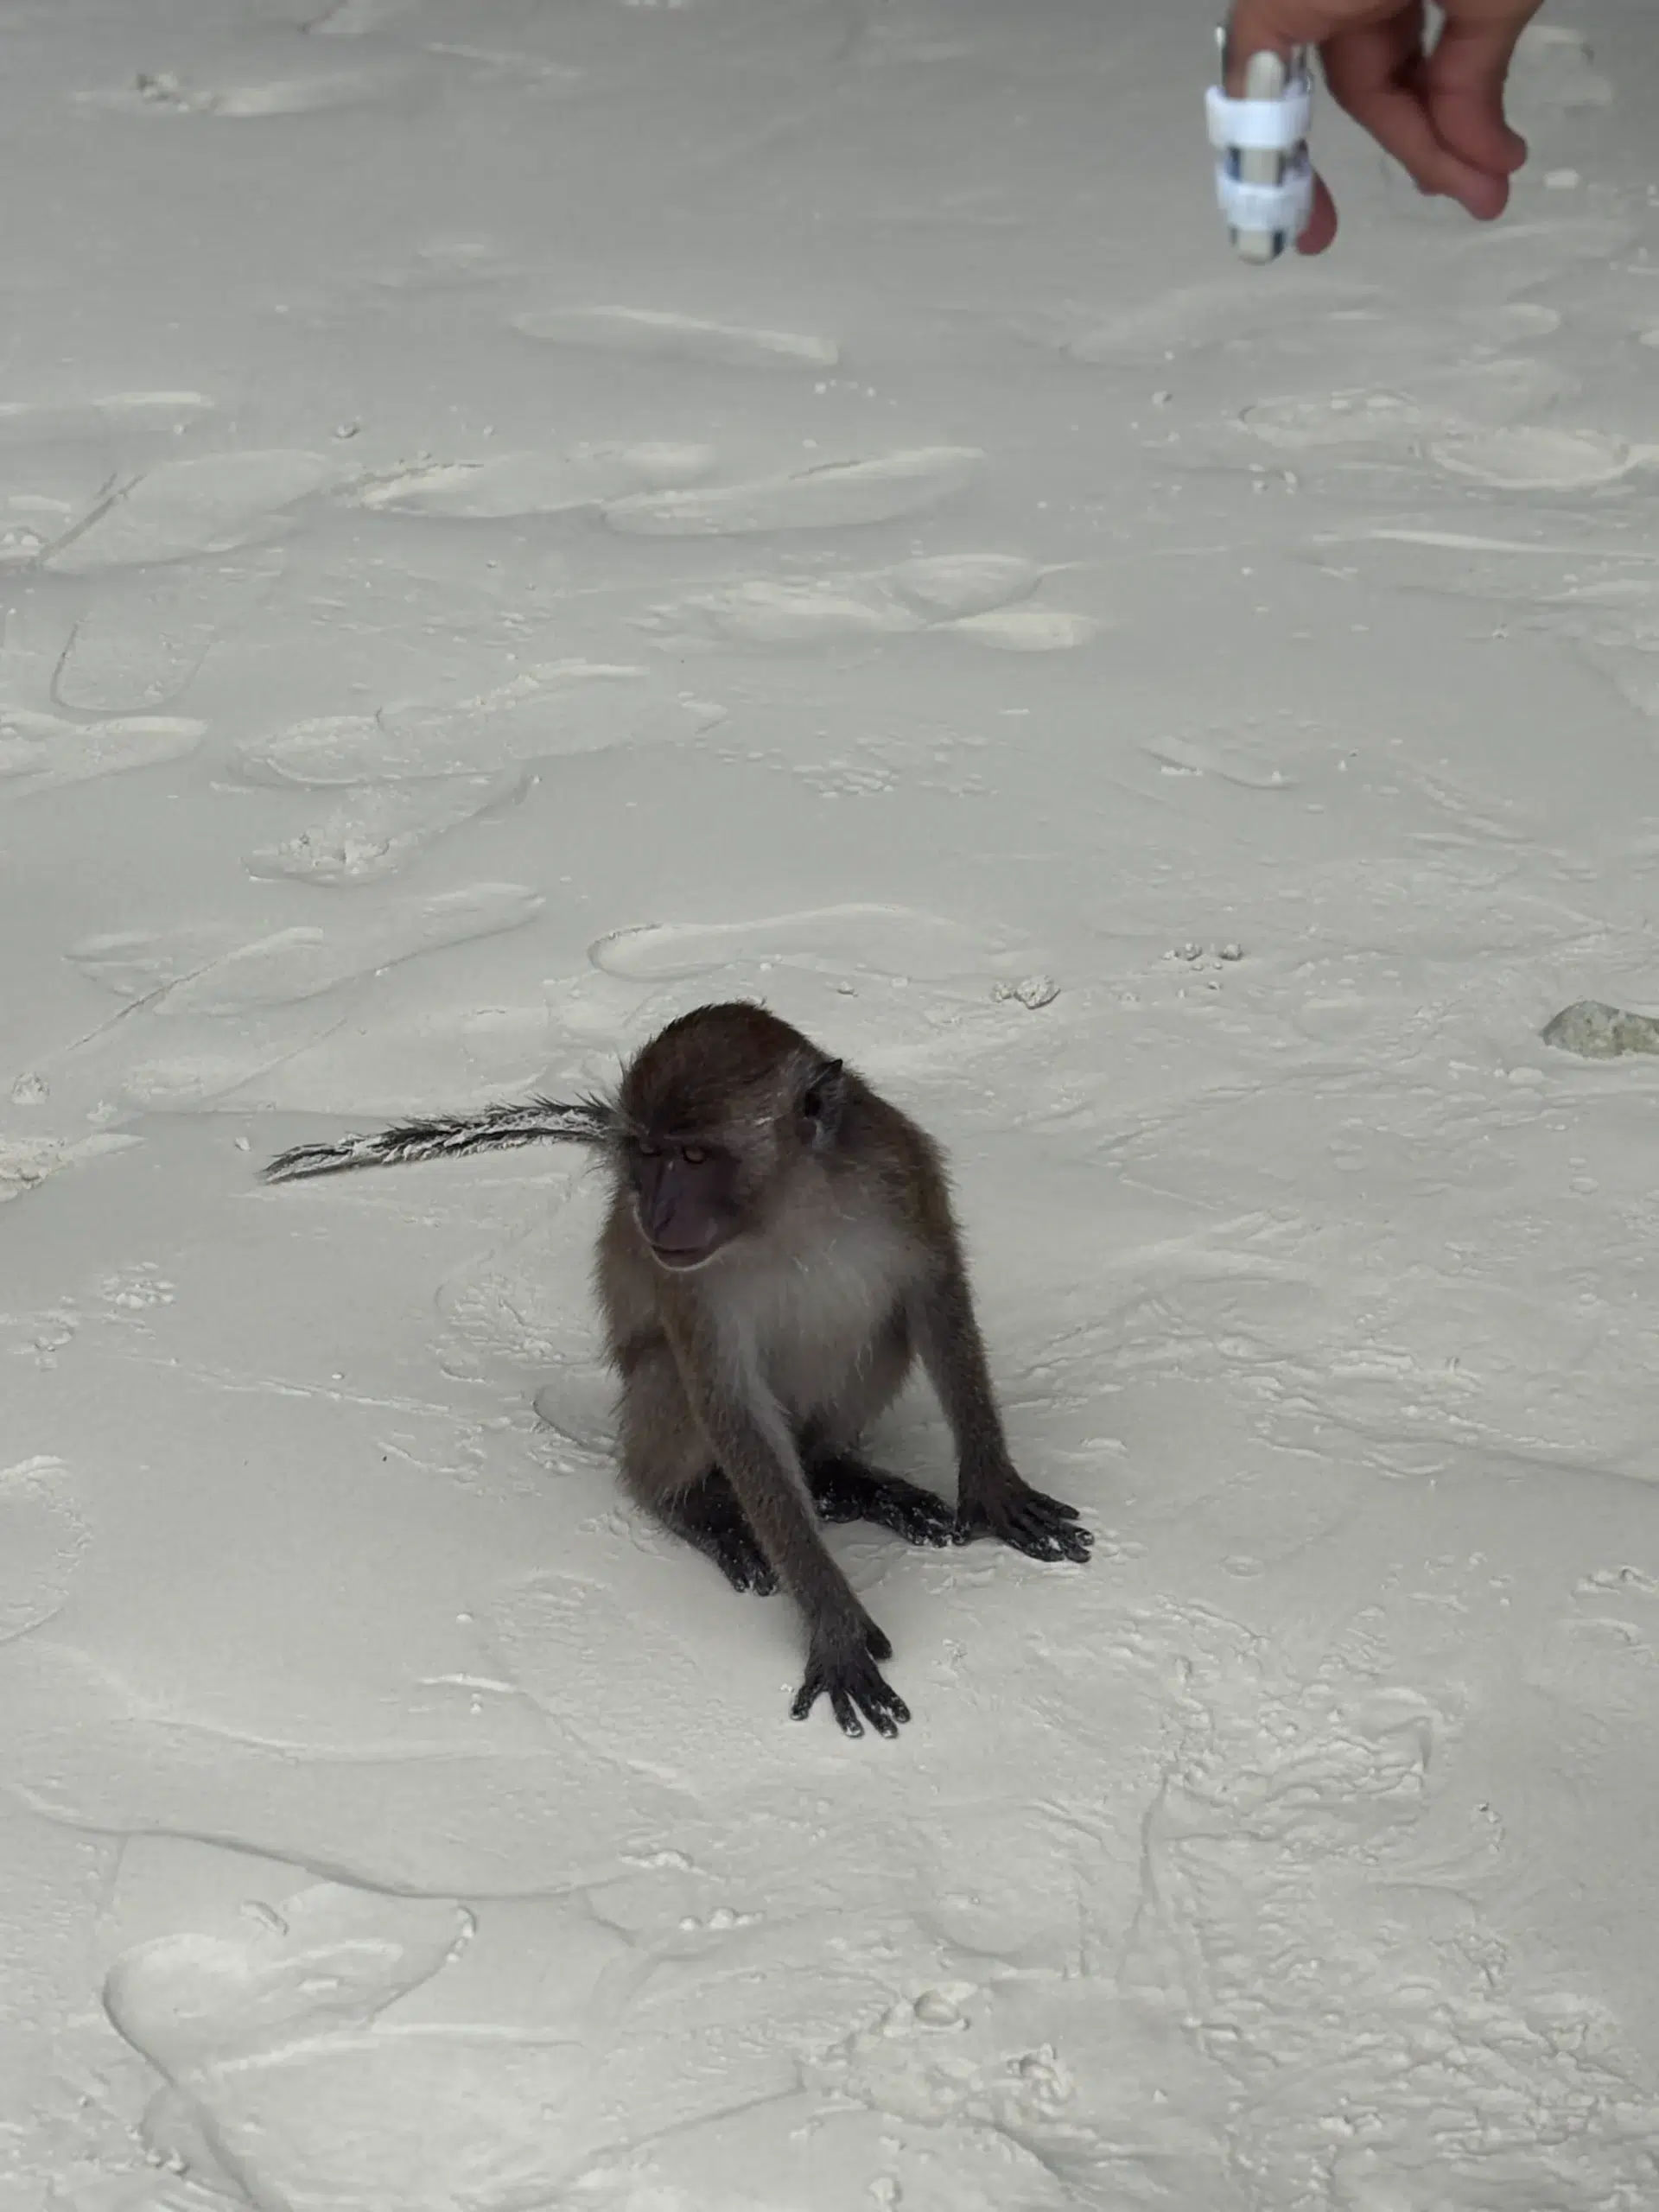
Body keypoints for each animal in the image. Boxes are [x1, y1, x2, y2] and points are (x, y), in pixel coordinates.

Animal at [264, 1002, 1092, 1738]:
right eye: (649, 1153)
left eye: (694, 1156)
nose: (655, 1214)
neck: (792, 1210)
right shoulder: (690, 1282)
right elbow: (727, 1398)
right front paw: (833, 1623)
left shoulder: (899, 1171)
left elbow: (934, 1301)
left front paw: (990, 1488)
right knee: (670, 1377)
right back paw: (689, 1504)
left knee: (881, 1332)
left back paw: (836, 1475)